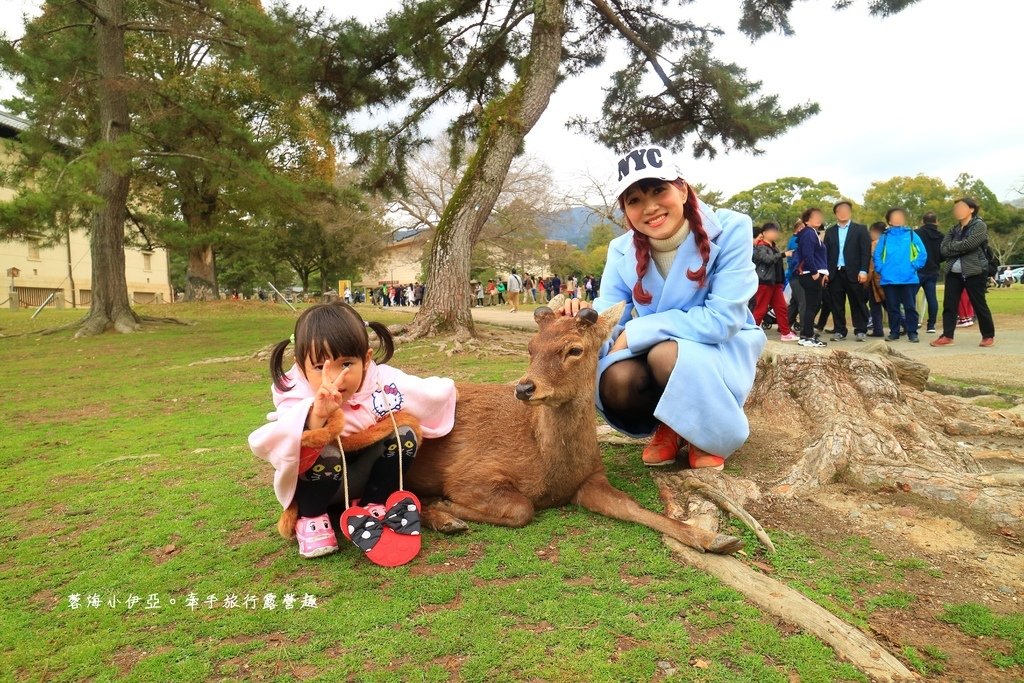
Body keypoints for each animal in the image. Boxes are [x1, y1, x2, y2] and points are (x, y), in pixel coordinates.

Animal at [405, 303, 745, 557]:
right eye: (530, 347)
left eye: (575, 350)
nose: (524, 388)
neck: (551, 470)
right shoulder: (468, 473)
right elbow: (522, 508)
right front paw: (446, 506)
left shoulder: (591, 478)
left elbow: (631, 506)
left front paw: (715, 539)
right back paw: (443, 517)